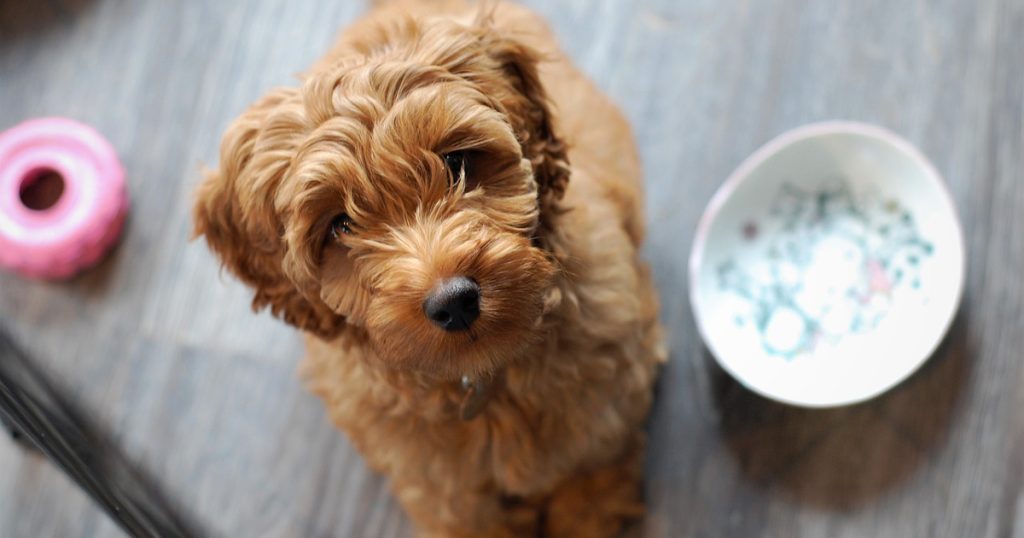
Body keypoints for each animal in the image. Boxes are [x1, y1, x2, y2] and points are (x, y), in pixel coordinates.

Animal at [195, 2, 667, 532]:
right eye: (340, 225)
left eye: (457, 162)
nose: (454, 302)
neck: (483, 380)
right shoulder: (433, 480)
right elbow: (469, 517)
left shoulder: (610, 390)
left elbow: (592, 462)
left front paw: (588, 513)